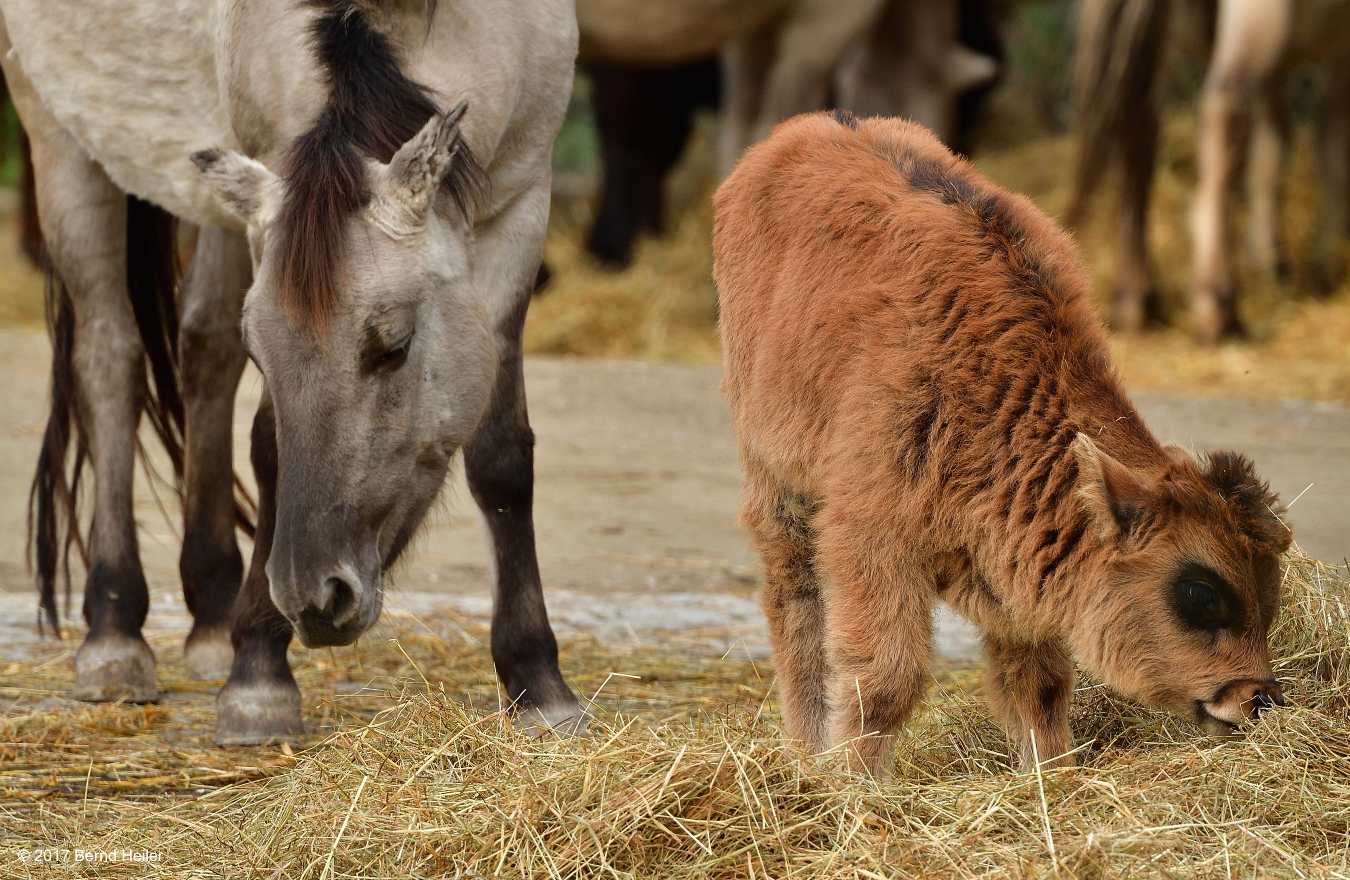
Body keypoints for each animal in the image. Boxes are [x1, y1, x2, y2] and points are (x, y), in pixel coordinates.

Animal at [718, 112, 1296, 777]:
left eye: (1270, 593)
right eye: (1200, 593)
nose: (1258, 700)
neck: (994, 383)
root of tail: (796, 135)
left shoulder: (1021, 577)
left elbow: (1037, 684)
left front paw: (1052, 774)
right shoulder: (871, 540)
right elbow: (886, 677)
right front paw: (855, 785)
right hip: (775, 480)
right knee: (795, 604)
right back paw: (806, 752)